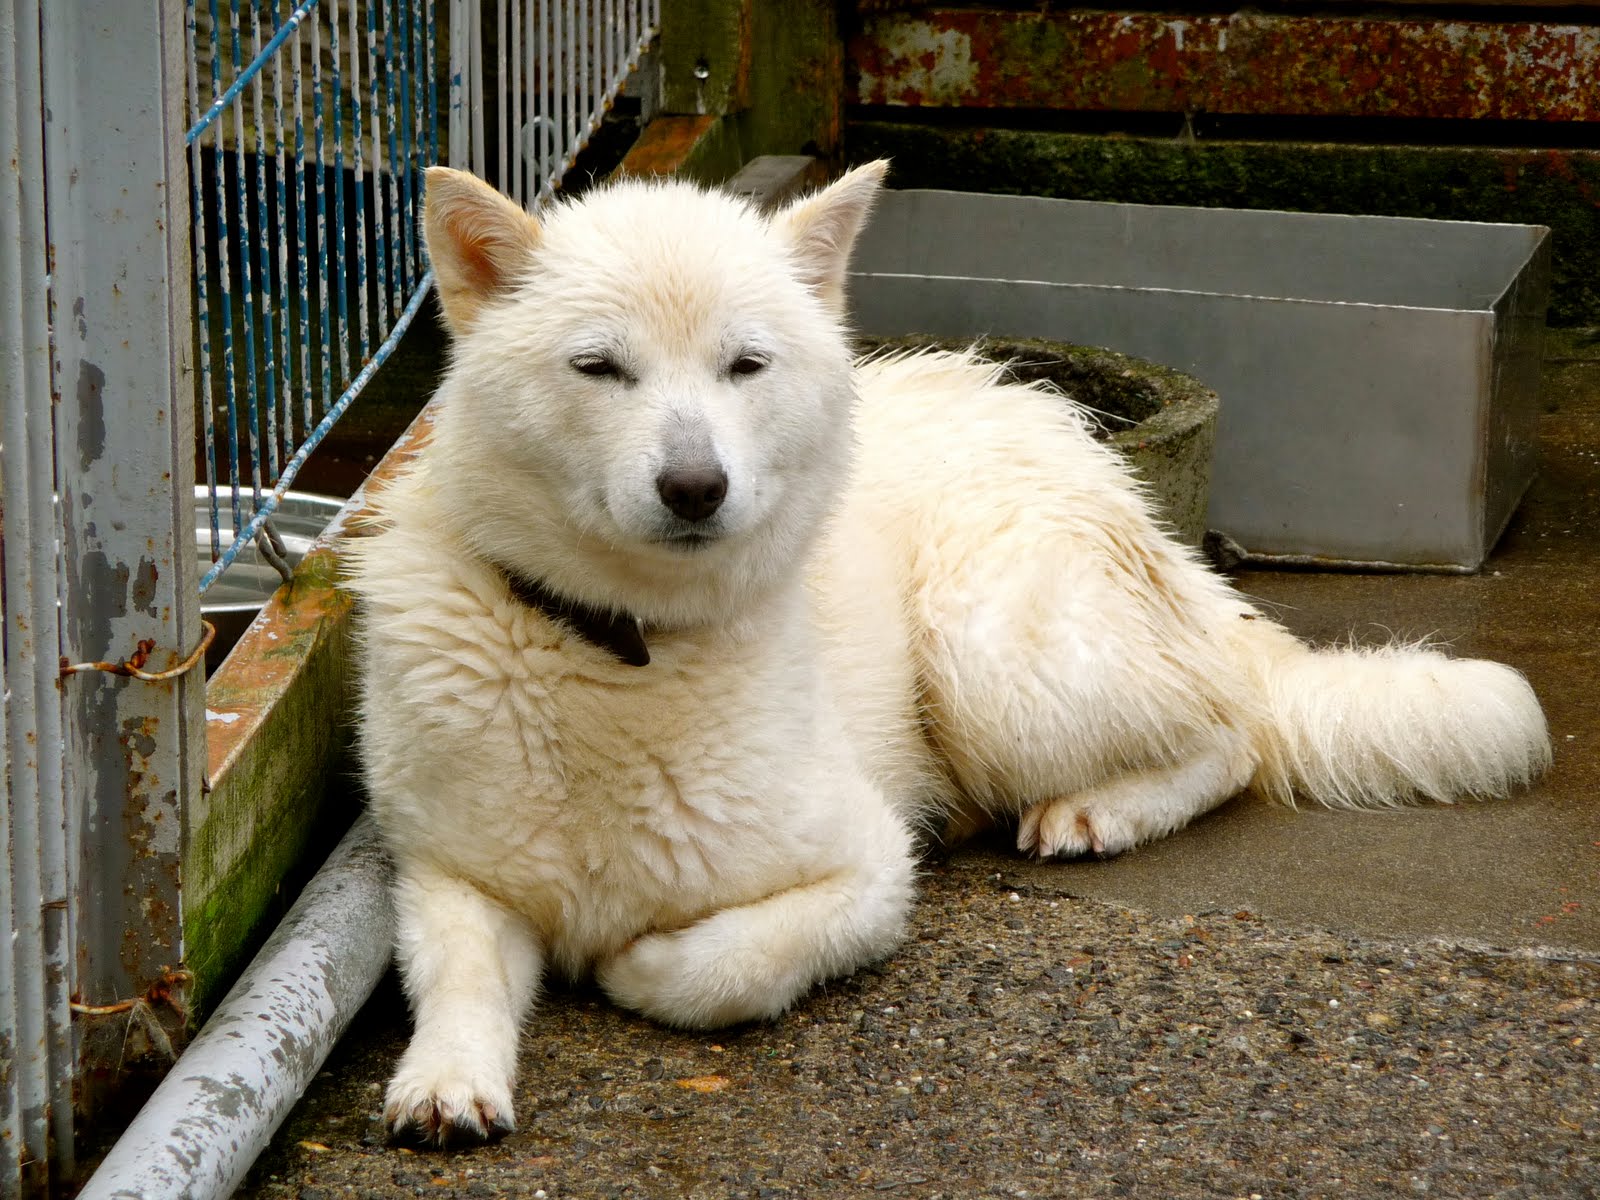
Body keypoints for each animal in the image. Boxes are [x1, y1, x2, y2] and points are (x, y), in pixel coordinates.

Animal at [353, 160, 1548, 1145]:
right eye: (598, 368)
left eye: (745, 365)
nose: (695, 488)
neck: (624, 646)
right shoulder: (446, 878)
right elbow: (458, 980)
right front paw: (446, 1083)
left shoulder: (870, 871)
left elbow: (720, 969)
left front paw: (635, 962)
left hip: (992, 655)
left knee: (1232, 735)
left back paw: (1098, 810)